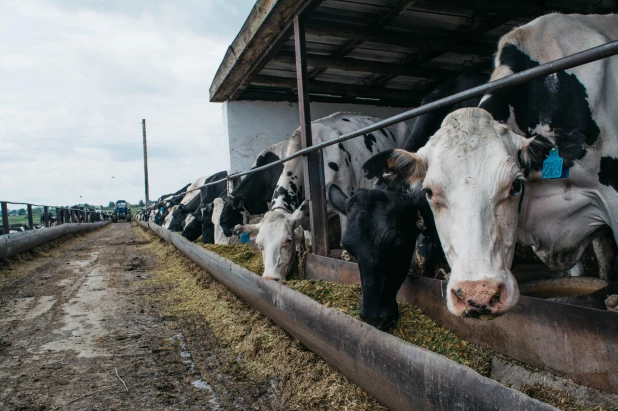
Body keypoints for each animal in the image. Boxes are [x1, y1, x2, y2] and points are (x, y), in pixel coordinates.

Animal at [233, 111, 406, 282]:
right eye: (259, 244)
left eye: (288, 241)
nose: (270, 277)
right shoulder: (305, 220)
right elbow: (309, 246)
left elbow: (344, 247)